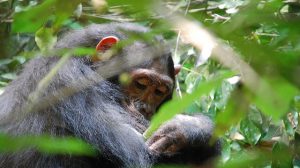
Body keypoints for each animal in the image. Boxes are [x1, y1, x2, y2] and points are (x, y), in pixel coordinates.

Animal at [0, 22, 219, 168]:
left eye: (159, 92)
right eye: (140, 84)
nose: (145, 109)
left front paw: (189, 126)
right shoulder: (69, 82)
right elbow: (136, 151)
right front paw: (185, 125)